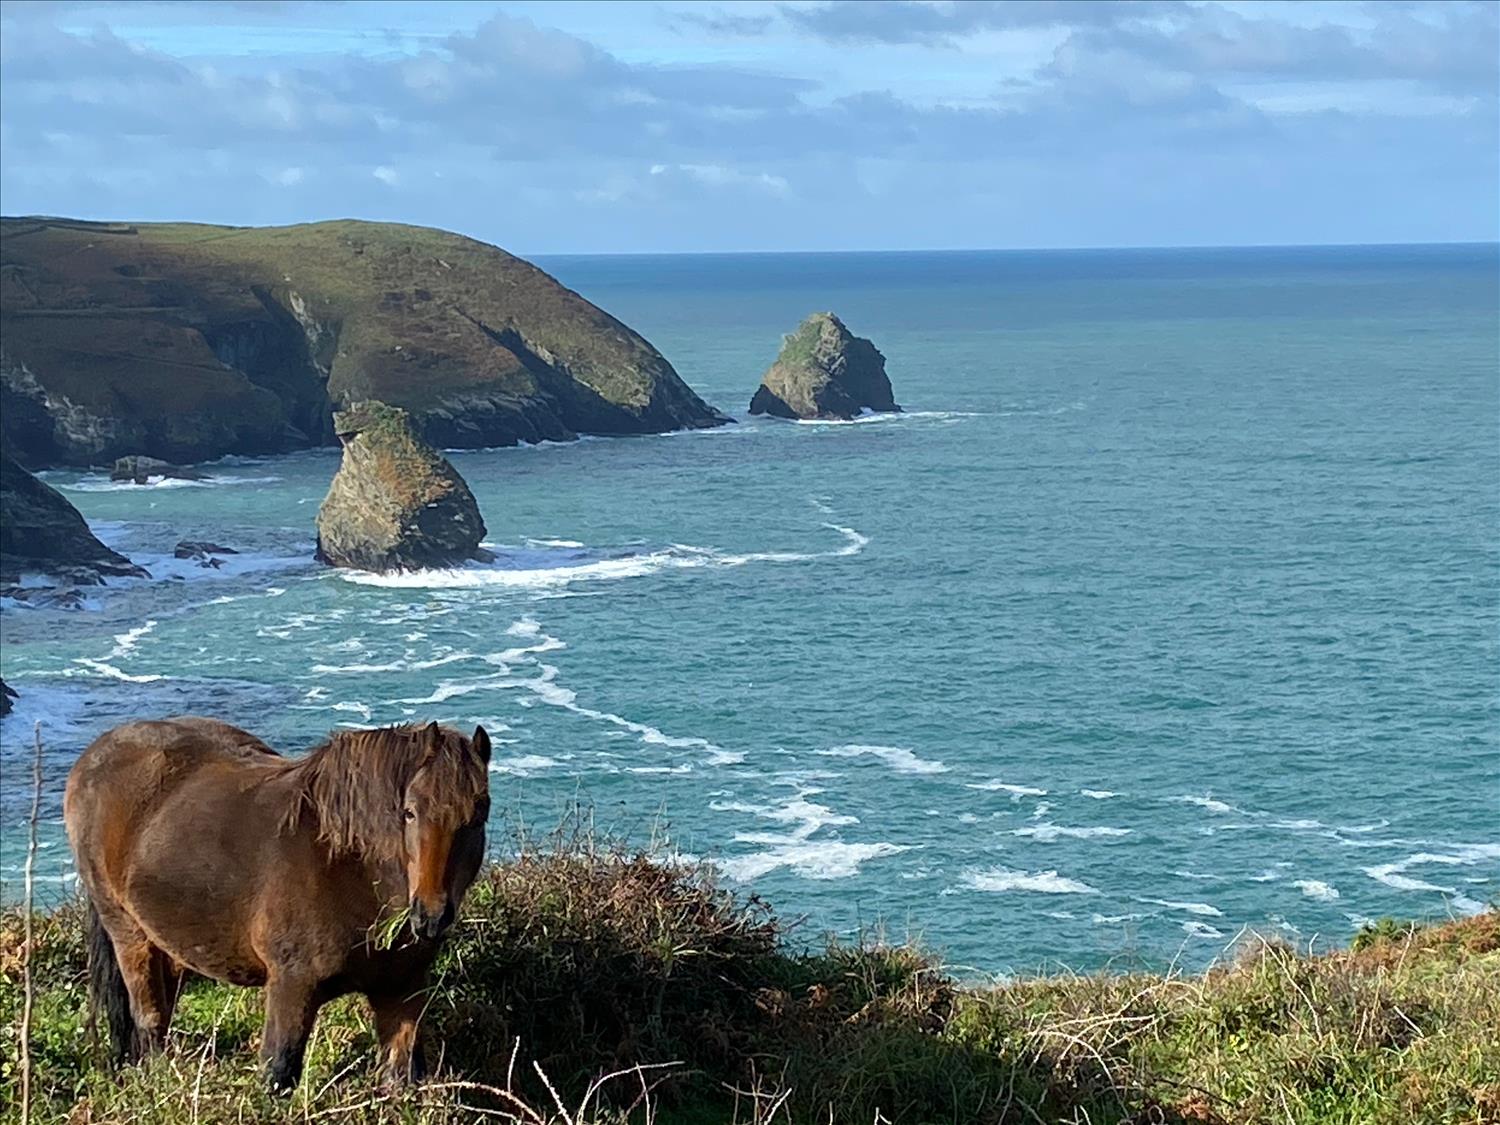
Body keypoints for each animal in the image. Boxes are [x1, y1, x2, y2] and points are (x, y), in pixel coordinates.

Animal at [64, 717, 492, 1098]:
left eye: (478, 815)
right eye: (409, 811)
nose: (431, 915)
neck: (346, 867)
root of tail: (95, 754)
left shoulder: (401, 990)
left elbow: (401, 1077)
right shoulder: (291, 986)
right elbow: (278, 1071)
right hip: (128, 935)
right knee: (149, 1019)